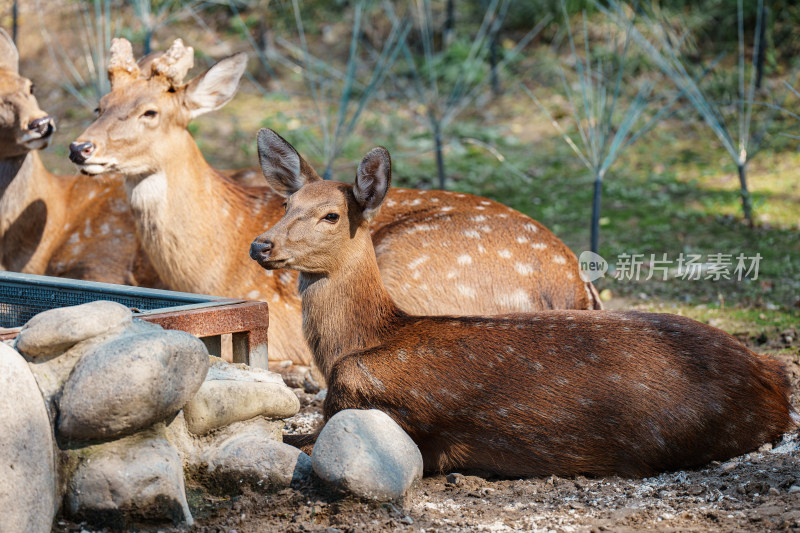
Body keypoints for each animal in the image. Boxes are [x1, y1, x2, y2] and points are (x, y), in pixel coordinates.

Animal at [70, 38, 600, 370]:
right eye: (98, 105)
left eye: (150, 112)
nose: (80, 148)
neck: (212, 261)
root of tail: (576, 288)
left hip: (417, 269)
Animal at [248, 131, 792, 476]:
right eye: (286, 205)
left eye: (332, 215)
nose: (260, 245)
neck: (363, 338)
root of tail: (774, 377)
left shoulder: (367, 402)